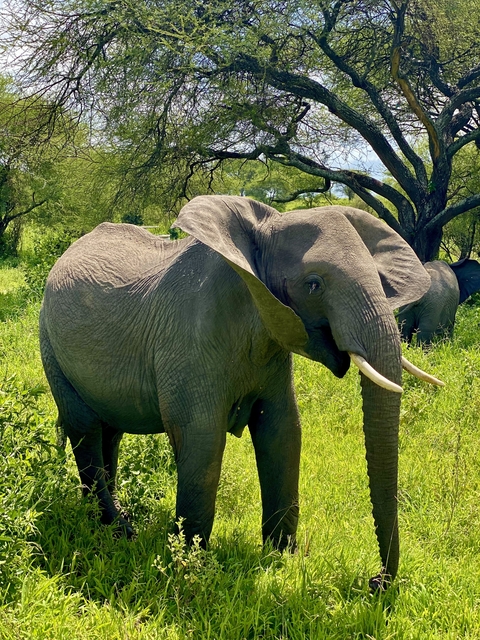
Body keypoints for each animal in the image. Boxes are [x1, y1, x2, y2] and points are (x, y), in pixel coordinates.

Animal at [40, 195, 441, 588]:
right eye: (313, 285)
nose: (376, 582)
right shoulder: (190, 339)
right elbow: (202, 439)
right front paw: (191, 565)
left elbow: (282, 432)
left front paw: (281, 559)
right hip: (51, 344)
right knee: (85, 430)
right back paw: (118, 529)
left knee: (110, 432)